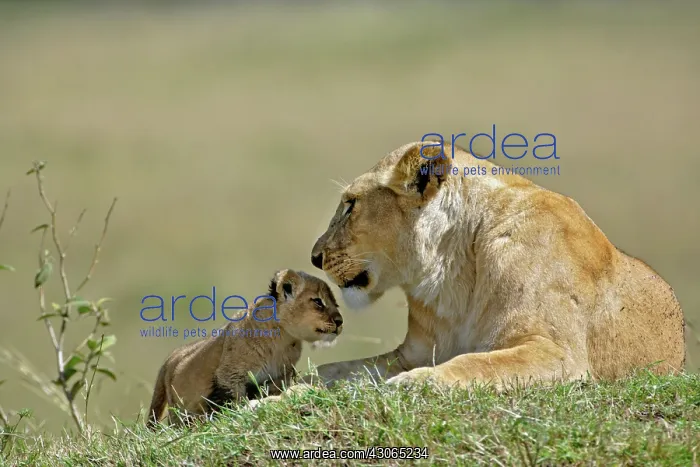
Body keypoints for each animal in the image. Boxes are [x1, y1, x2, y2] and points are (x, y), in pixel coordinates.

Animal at [146, 269, 343, 428]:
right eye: (318, 301)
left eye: (336, 303)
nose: (340, 321)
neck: (283, 339)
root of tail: (171, 357)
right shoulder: (230, 376)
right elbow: (234, 400)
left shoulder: (280, 376)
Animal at [303, 141, 685, 391]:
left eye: (351, 204)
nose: (314, 257)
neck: (450, 276)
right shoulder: (410, 353)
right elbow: (339, 369)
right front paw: (293, 389)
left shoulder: (558, 353)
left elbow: (478, 362)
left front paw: (415, 383)